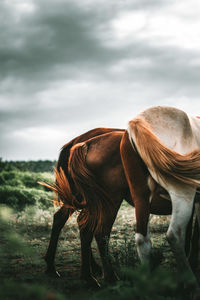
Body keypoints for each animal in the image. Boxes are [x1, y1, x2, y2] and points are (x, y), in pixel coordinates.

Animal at [42, 126, 198, 286]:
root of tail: (84, 143)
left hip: (86, 200)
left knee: (70, 222)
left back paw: (70, 271)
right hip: (108, 201)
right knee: (99, 232)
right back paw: (107, 277)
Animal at [121, 106, 200, 296]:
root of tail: (139, 120)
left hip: (140, 198)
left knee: (142, 239)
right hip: (182, 194)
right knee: (174, 235)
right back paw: (193, 286)